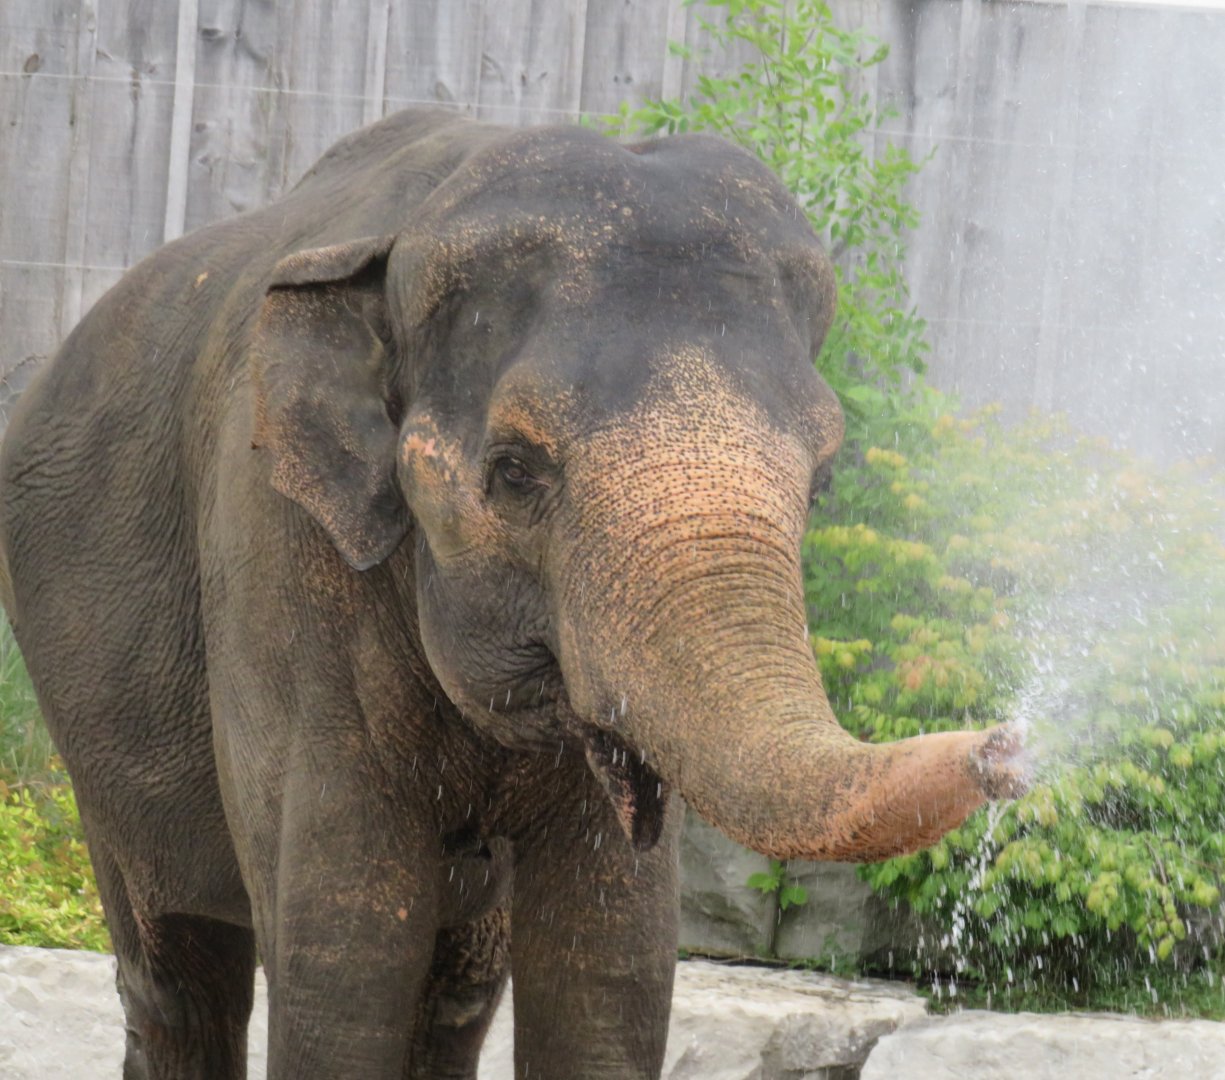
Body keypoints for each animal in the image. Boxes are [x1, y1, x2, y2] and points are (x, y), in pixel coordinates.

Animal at [0, 108, 1024, 1079]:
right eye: (514, 473)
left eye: (820, 485)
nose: (1008, 749)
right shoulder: (276, 550)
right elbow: (341, 953)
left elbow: (612, 954)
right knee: (178, 969)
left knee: (454, 992)